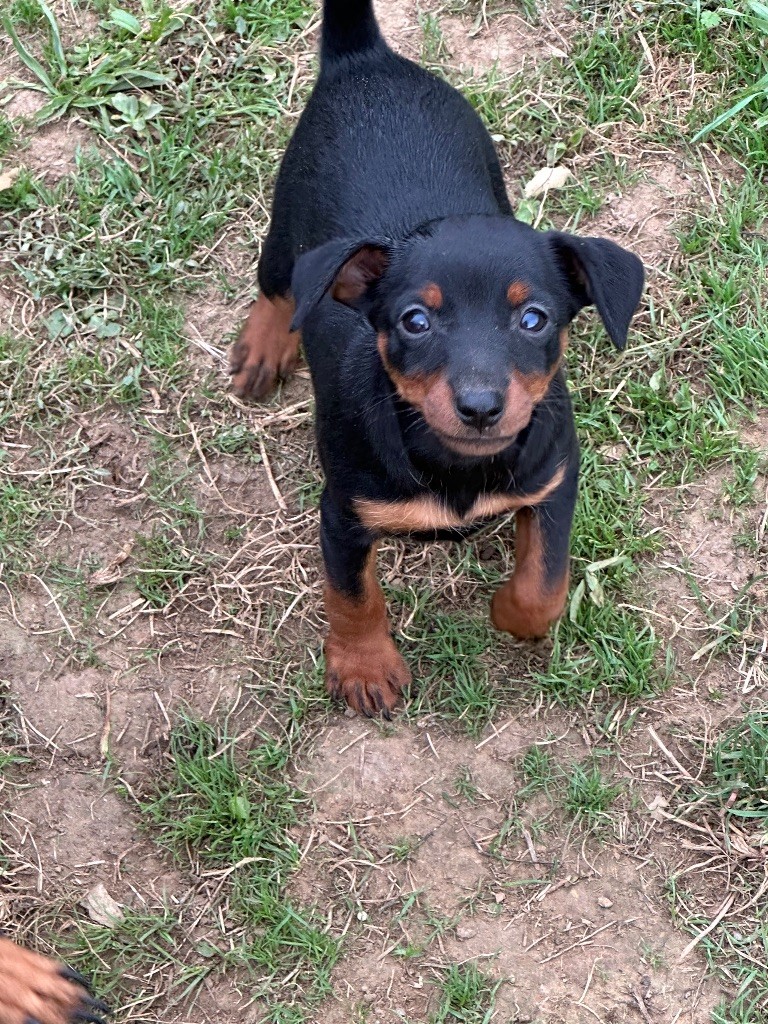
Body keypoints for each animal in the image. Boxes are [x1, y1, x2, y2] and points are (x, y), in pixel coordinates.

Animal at [231, 0, 647, 716]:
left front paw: (512, 615)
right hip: (289, 224)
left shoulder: (554, 480)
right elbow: (351, 594)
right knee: (280, 283)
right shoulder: (344, 513)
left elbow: (545, 581)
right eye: (414, 321)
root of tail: (365, 58)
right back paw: (263, 346)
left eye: (534, 319)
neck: (457, 463)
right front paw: (365, 667)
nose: (480, 407)